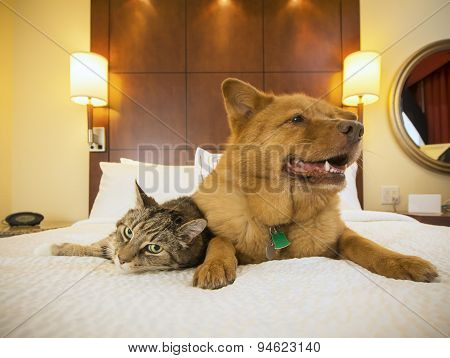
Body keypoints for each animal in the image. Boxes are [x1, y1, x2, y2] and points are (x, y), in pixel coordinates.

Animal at [192, 77, 438, 288]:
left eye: (331, 117)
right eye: (297, 119)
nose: (358, 128)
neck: (282, 222)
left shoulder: (342, 235)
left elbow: (366, 244)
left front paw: (402, 261)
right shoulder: (221, 235)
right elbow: (219, 241)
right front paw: (215, 264)